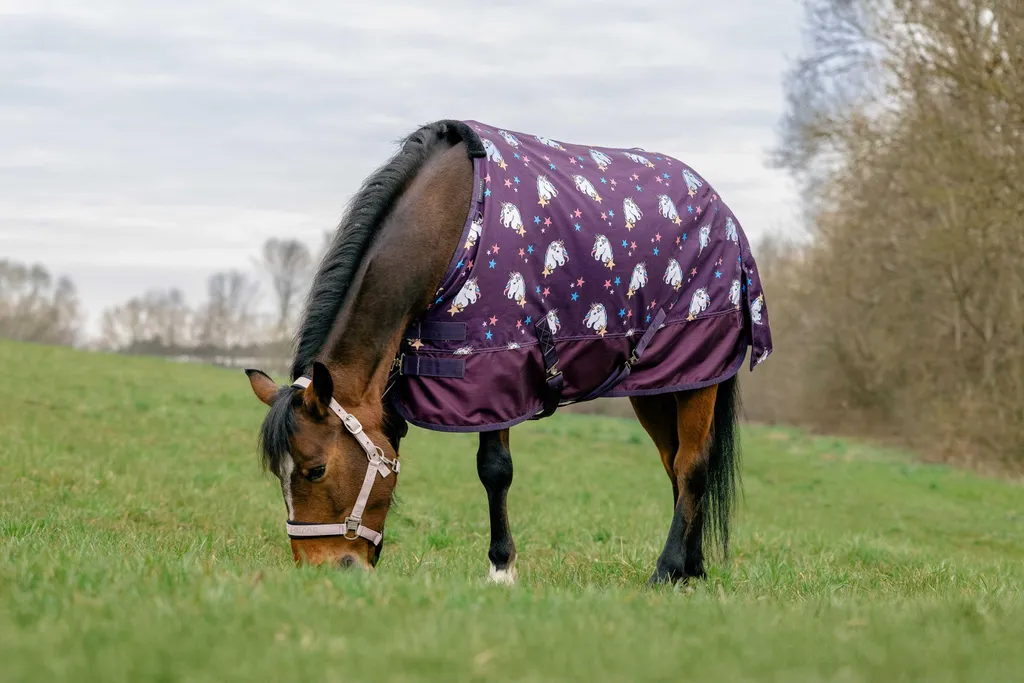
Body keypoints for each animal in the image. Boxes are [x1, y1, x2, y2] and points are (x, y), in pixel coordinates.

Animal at [245, 119, 772, 584]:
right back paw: (691, 569)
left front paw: (501, 569)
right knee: (676, 465)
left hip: (699, 371)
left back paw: (667, 571)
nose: (325, 570)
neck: (452, 227)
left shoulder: (494, 372)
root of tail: (721, 209)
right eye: (278, 476)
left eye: (315, 470)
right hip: (661, 383)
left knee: (692, 466)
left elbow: (494, 471)